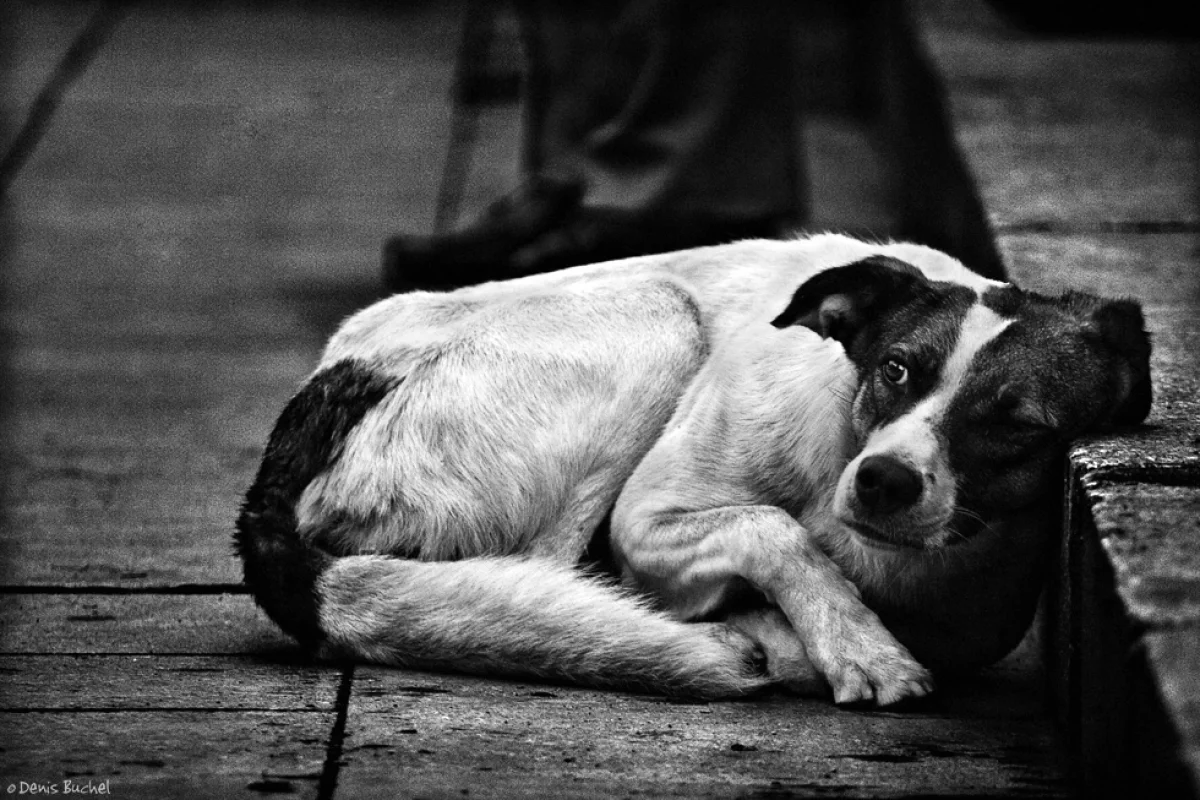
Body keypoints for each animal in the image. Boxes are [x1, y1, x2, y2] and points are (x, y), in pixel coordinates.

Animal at [231, 232, 1142, 705]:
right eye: (896, 370)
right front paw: (855, 645)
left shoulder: (978, 609)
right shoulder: (646, 522)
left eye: (1016, 422)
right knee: (537, 571)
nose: (884, 481)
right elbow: (771, 529)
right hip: (656, 314)